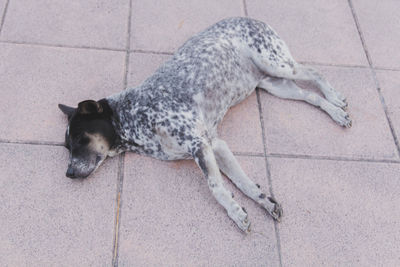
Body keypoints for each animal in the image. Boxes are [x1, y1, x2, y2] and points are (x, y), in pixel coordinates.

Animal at [58, 17, 350, 233]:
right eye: (67, 147)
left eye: (81, 138)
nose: (69, 173)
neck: (133, 116)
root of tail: (252, 18)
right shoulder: (216, 145)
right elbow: (243, 183)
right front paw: (263, 201)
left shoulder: (200, 145)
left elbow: (216, 187)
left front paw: (235, 213)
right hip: (276, 85)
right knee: (310, 96)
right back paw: (336, 112)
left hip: (276, 64)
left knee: (314, 72)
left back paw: (336, 99)